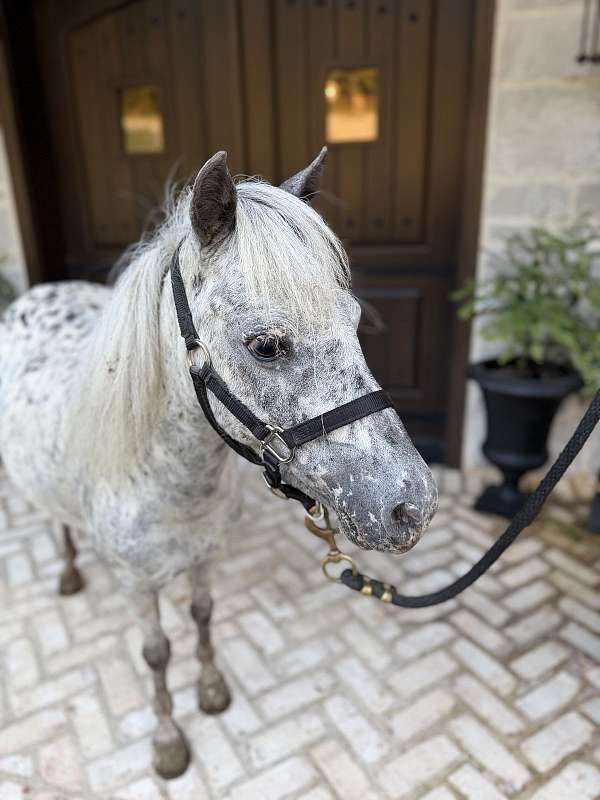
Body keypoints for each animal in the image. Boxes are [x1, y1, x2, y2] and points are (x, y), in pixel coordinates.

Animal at [0, 148, 438, 779]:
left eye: (354, 321)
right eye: (266, 345)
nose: (412, 505)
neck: (170, 481)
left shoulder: (206, 557)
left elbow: (204, 615)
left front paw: (210, 691)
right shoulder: (137, 583)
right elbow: (156, 653)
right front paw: (167, 743)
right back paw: (68, 572)